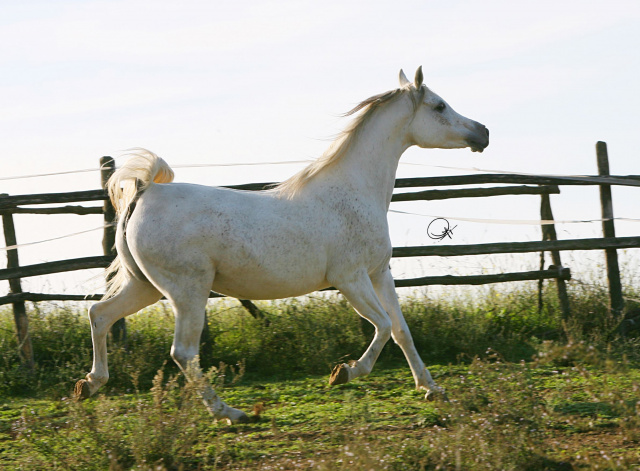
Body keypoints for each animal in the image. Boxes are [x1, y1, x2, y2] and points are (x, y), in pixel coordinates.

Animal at [74, 68, 490, 426]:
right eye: (439, 106)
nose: (483, 132)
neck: (354, 191)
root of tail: (144, 192)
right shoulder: (350, 278)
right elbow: (384, 326)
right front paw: (343, 373)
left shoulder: (379, 274)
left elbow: (402, 330)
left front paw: (431, 389)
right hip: (187, 290)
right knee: (184, 353)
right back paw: (232, 413)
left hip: (144, 285)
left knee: (100, 315)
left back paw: (88, 385)